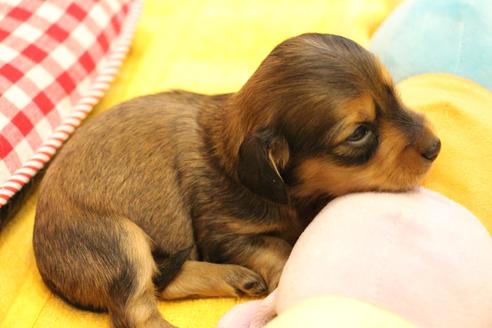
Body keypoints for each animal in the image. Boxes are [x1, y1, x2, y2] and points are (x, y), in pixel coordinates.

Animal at [32, 34, 440, 328]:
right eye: (358, 133)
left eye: (393, 93)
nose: (436, 146)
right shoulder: (225, 233)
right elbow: (277, 249)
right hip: (118, 240)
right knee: (136, 309)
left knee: (161, 283)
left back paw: (235, 278)